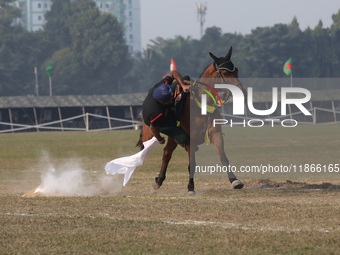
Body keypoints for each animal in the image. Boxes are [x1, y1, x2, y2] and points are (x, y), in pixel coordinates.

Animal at [137, 46, 247, 193]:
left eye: (236, 70)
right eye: (224, 72)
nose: (242, 92)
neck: (201, 105)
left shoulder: (216, 134)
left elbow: (223, 157)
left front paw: (234, 180)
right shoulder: (190, 140)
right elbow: (192, 164)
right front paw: (190, 187)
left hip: (173, 136)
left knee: (167, 153)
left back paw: (159, 180)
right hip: (152, 132)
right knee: (159, 150)